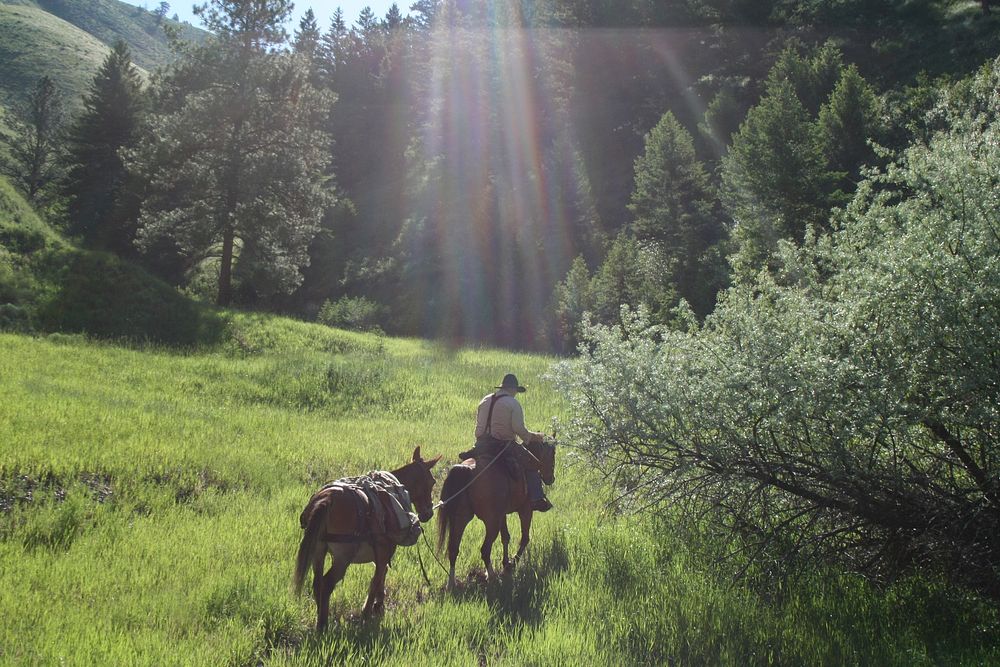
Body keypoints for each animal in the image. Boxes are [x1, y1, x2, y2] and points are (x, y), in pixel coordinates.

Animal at [292, 448, 442, 632]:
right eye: (432, 482)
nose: (428, 513)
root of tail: (326, 499)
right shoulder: (384, 554)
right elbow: (376, 579)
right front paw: (367, 613)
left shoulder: (380, 555)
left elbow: (381, 576)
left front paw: (378, 605)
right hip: (342, 558)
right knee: (326, 584)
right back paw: (322, 625)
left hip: (318, 552)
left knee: (317, 584)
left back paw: (321, 615)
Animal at [436, 438, 556, 588]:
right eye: (553, 454)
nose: (551, 478)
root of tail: (468, 469)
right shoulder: (525, 510)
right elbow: (524, 539)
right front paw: (512, 563)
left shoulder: (502, 515)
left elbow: (505, 537)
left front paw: (505, 563)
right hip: (491, 522)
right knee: (485, 550)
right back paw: (491, 577)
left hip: (461, 518)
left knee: (453, 549)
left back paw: (451, 583)